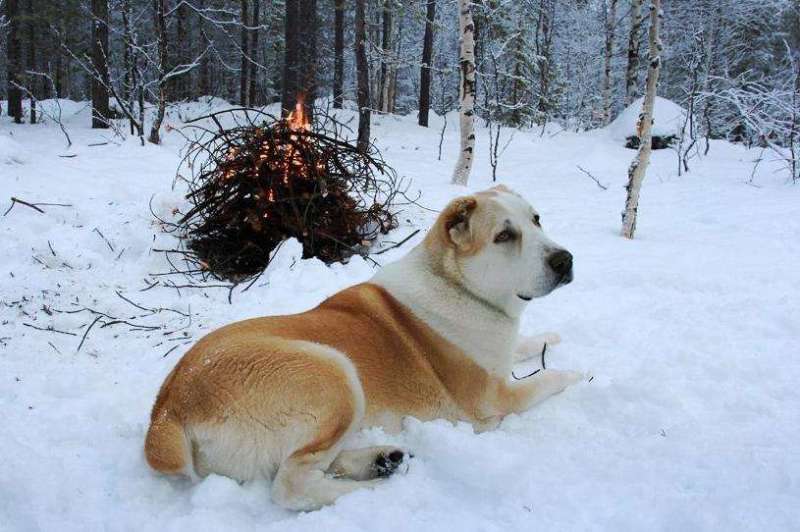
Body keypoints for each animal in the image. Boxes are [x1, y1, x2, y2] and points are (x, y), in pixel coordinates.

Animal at [144, 184, 580, 512]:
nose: (566, 260)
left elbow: (525, 345)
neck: (460, 286)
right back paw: (378, 492)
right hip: (334, 372)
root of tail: (166, 411)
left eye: (536, 220)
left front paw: (550, 338)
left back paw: (382, 460)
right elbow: (546, 379)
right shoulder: (493, 400)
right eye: (504, 236)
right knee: (291, 485)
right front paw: (578, 373)